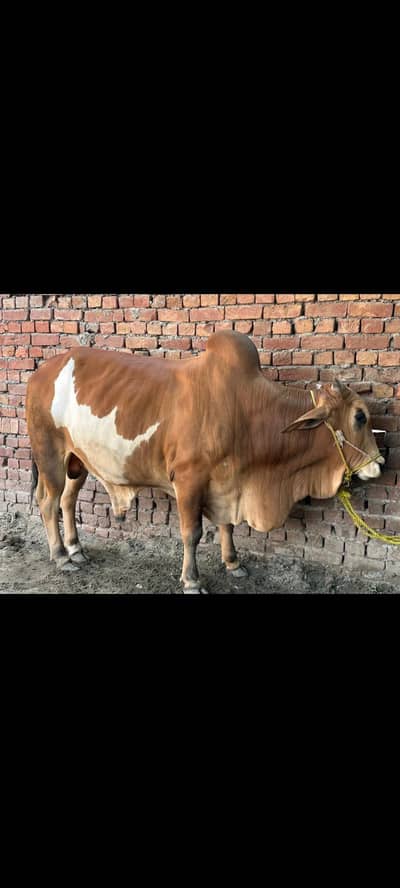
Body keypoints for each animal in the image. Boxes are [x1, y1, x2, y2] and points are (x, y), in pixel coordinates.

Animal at [25, 330, 384, 593]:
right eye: (360, 416)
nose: (380, 463)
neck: (247, 411)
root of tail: (40, 373)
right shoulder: (188, 479)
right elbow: (192, 533)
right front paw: (192, 580)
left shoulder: (227, 482)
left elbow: (227, 524)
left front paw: (233, 563)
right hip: (50, 454)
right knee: (48, 501)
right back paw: (61, 556)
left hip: (77, 462)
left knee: (68, 501)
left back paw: (76, 549)